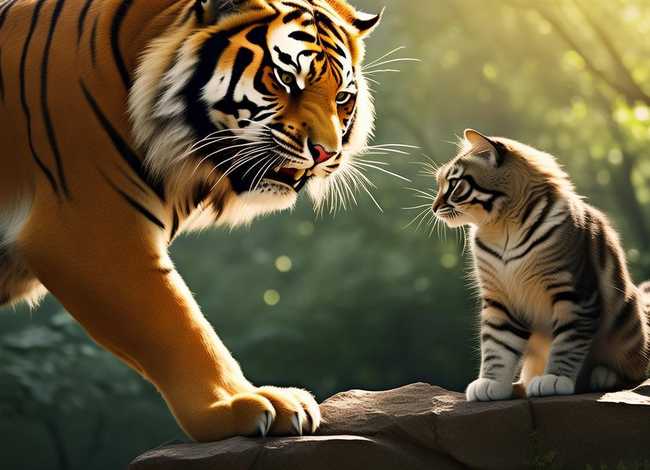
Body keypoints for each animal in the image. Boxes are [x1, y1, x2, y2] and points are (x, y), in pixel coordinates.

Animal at [0, 0, 381, 441]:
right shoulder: (88, 233)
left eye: (343, 97)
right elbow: (181, 327)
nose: (326, 153)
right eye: (286, 79)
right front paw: (238, 405)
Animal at [431, 129, 650, 401]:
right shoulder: (500, 298)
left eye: (454, 185)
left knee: (634, 371)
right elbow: (497, 346)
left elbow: (568, 341)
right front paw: (491, 384)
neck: (503, 227)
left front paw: (555, 379)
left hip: (628, 320)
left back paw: (601, 376)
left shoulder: (573, 292)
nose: (434, 208)